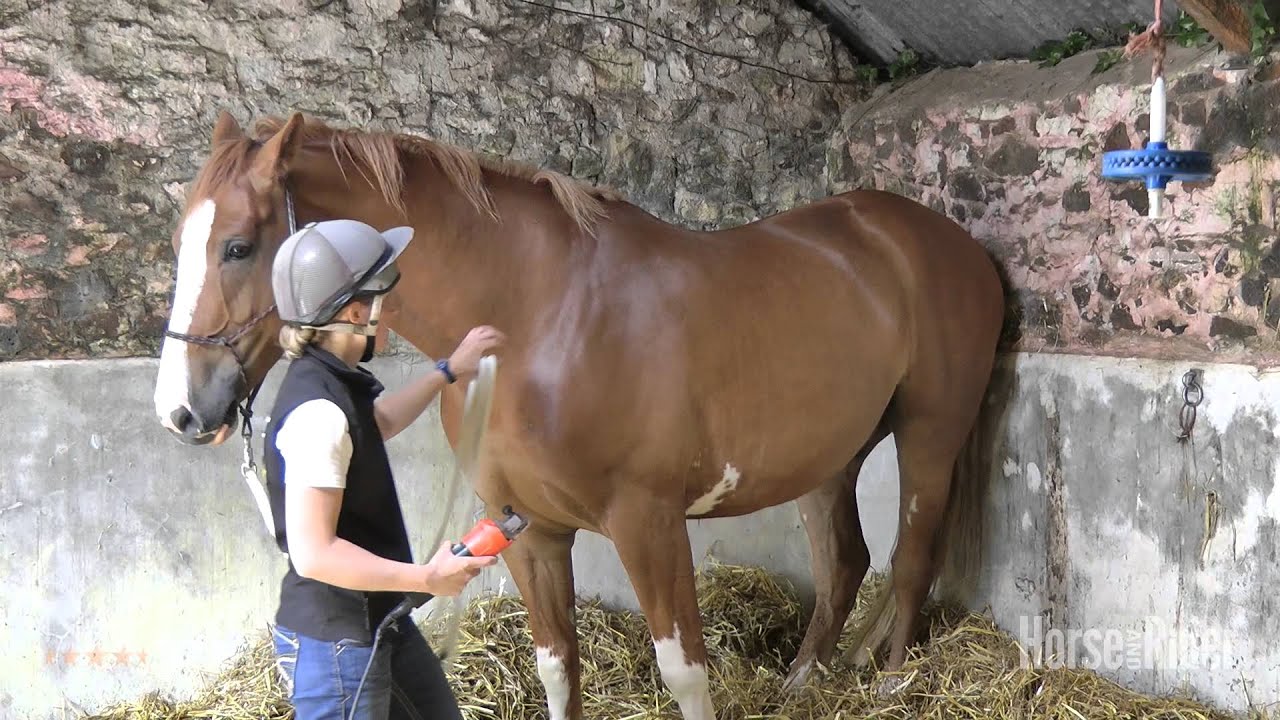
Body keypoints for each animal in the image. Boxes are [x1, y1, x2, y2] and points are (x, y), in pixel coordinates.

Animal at [151, 110, 1005, 720]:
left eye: (236, 246)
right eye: (181, 238)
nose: (181, 411)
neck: (541, 312)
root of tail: (941, 239)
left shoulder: (647, 522)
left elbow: (683, 673)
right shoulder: (529, 532)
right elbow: (557, 666)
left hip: (931, 434)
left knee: (912, 557)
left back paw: (890, 686)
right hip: (828, 458)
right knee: (845, 565)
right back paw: (801, 684)